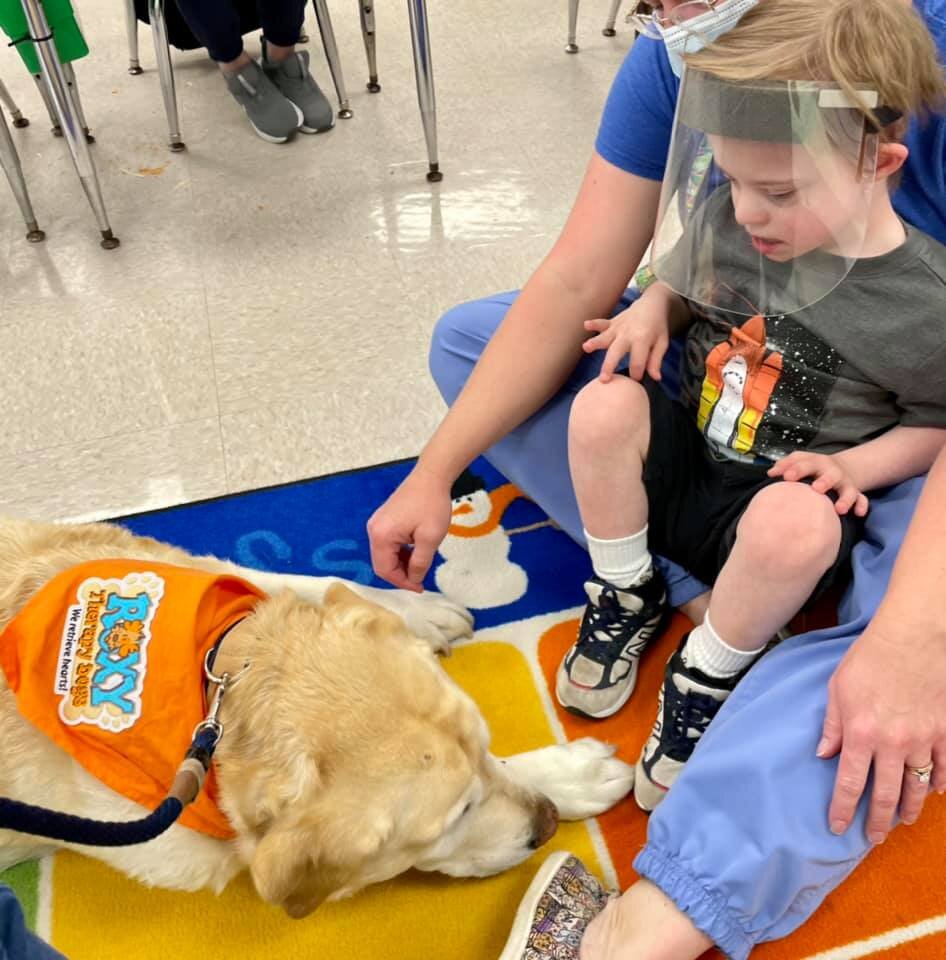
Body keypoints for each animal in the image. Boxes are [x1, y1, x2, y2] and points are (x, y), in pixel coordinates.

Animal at [1, 516, 636, 916]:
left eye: (484, 743)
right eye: (457, 815)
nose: (545, 823)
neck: (220, 693)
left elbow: (311, 580)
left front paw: (414, 611)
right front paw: (569, 778)